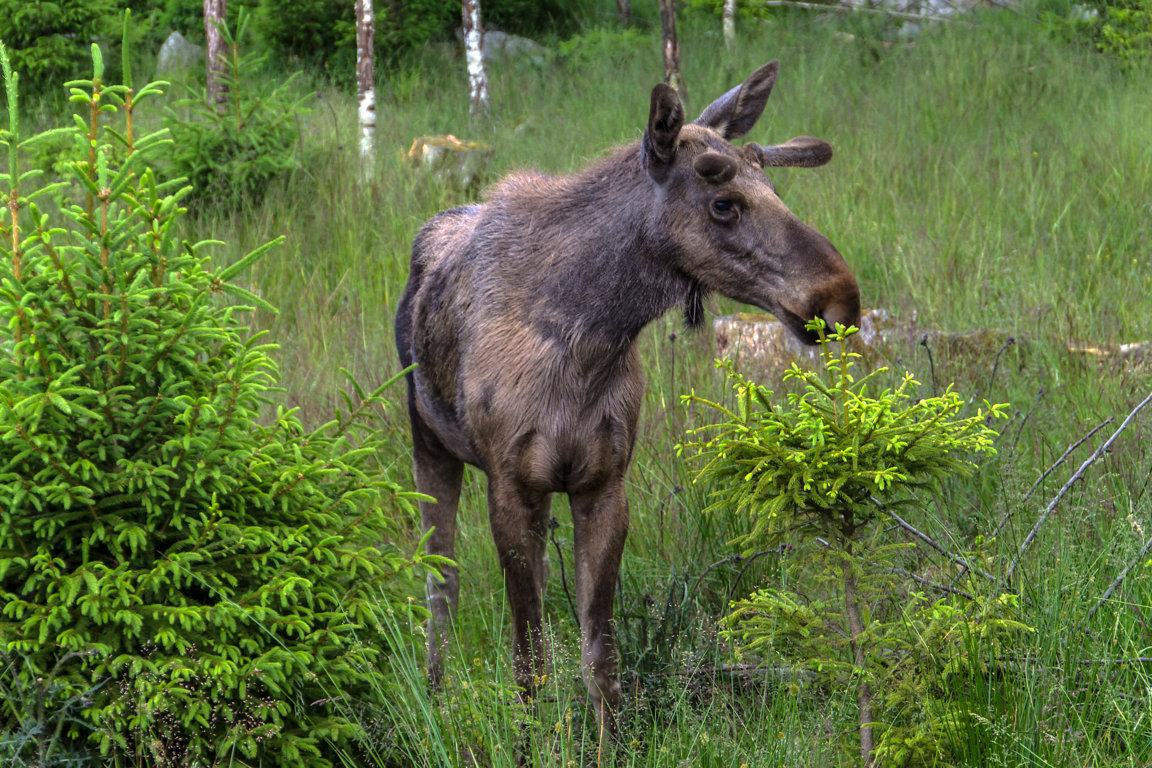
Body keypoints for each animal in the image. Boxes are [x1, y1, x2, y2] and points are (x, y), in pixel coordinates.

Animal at [396, 58, 857, 732]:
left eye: (776, 189)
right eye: (723, 202)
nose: (840, 299)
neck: (590, 340)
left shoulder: (604, 483)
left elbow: (601, 664)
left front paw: (605, 742)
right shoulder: (509, 483)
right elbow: (529, 666)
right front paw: (529, 744)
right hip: (427, 442)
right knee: (441, 587)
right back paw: (432, 695)